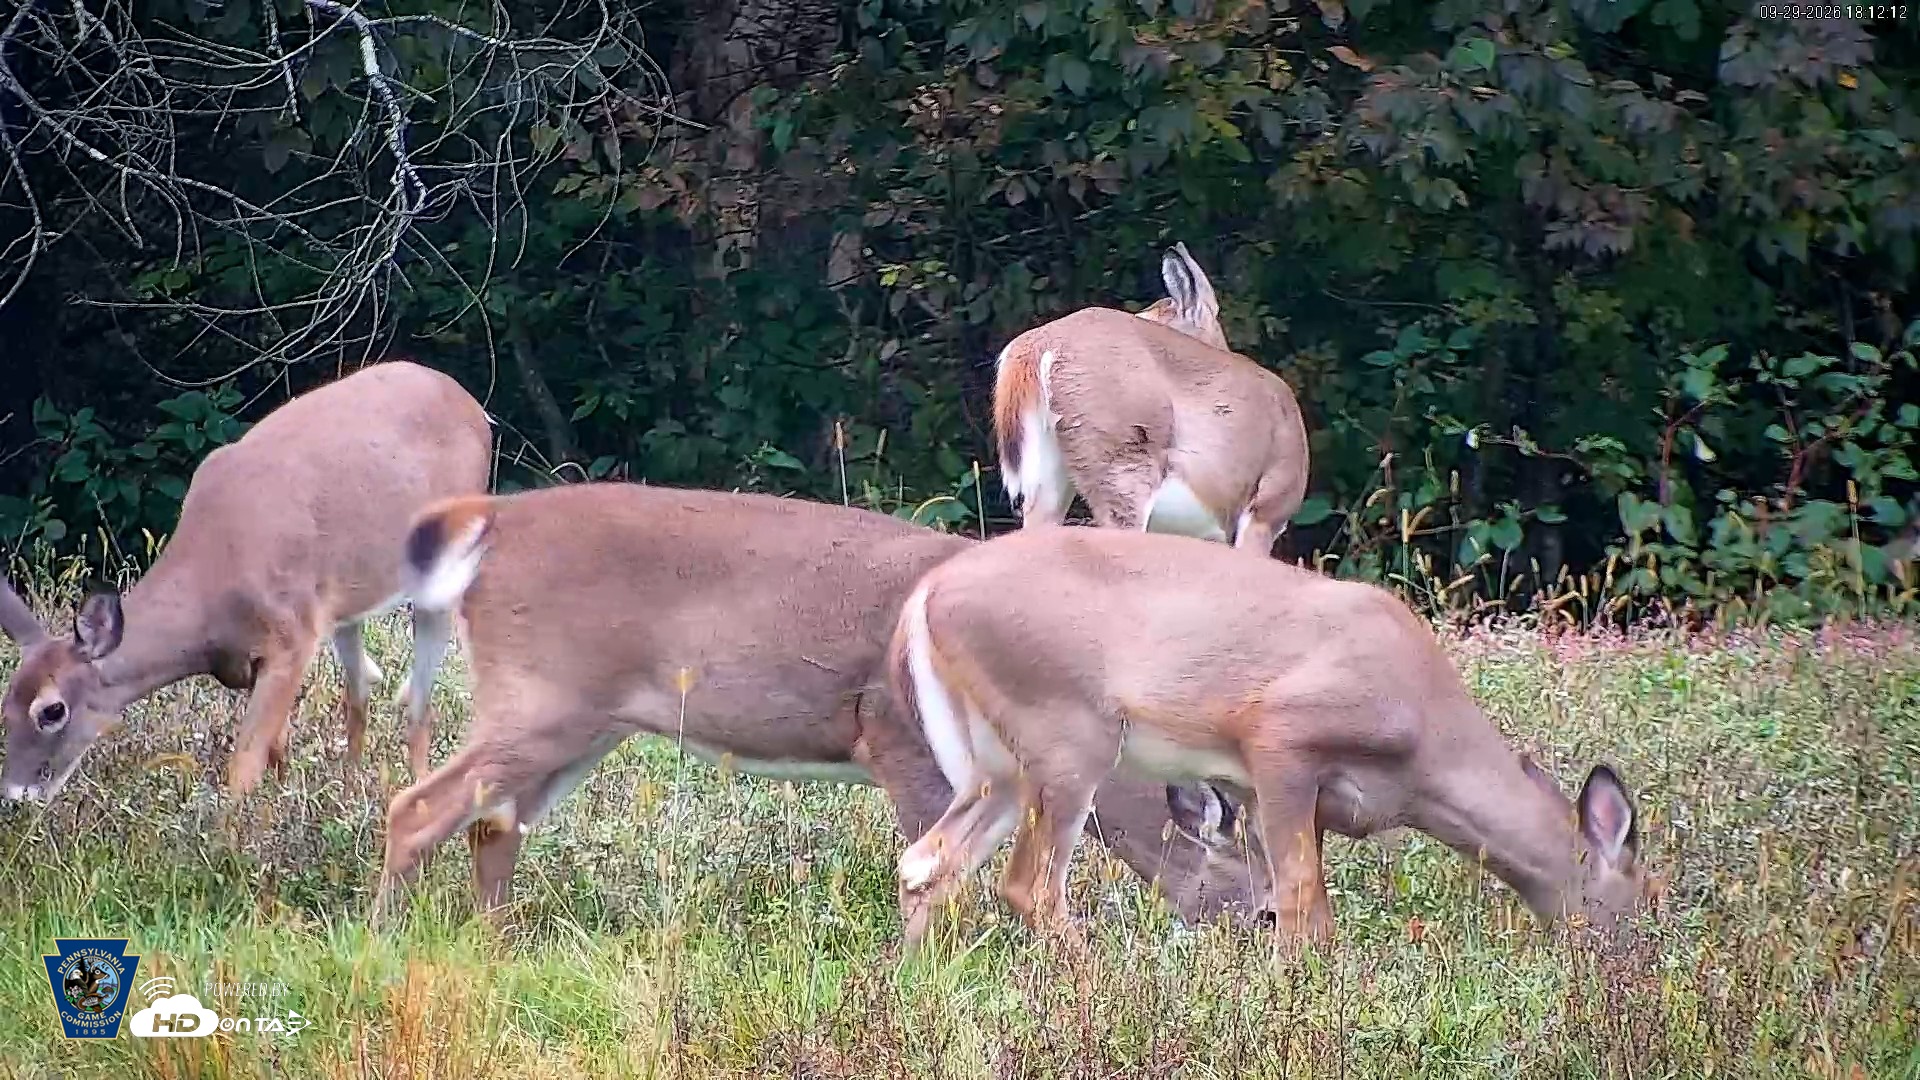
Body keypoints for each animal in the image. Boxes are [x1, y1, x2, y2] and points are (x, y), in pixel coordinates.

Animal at [0, 360, 492, 805]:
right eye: (4, 704)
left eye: (52, 710)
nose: (16, 796)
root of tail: (470, 402)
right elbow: (275, 754)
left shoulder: (293, 639)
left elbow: (244, 769)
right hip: (347, 604)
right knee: (360, 692)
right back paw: (352, 789)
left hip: (442, 578)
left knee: (421, 700)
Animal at [371, 482, 1260, 928]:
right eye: (1251, 883)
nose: (1266, 940)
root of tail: (491, 522)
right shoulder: (896, 735)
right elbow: (933, 863)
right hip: (543, 694)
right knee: (419, 806)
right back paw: (382, 940)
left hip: (584, 723)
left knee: (494, 823)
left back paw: (492, 947)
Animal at [888, 525, 1653, 953]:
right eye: (1643, 903)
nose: (1635, 970)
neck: (1425, 752)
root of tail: (926, 596)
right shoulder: (1281, 737)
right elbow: (1301, 906)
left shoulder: (1268, 794)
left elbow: (1300, 904)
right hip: (1069, 733)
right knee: (1028, 886)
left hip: (999, 763)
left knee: (927, 861)